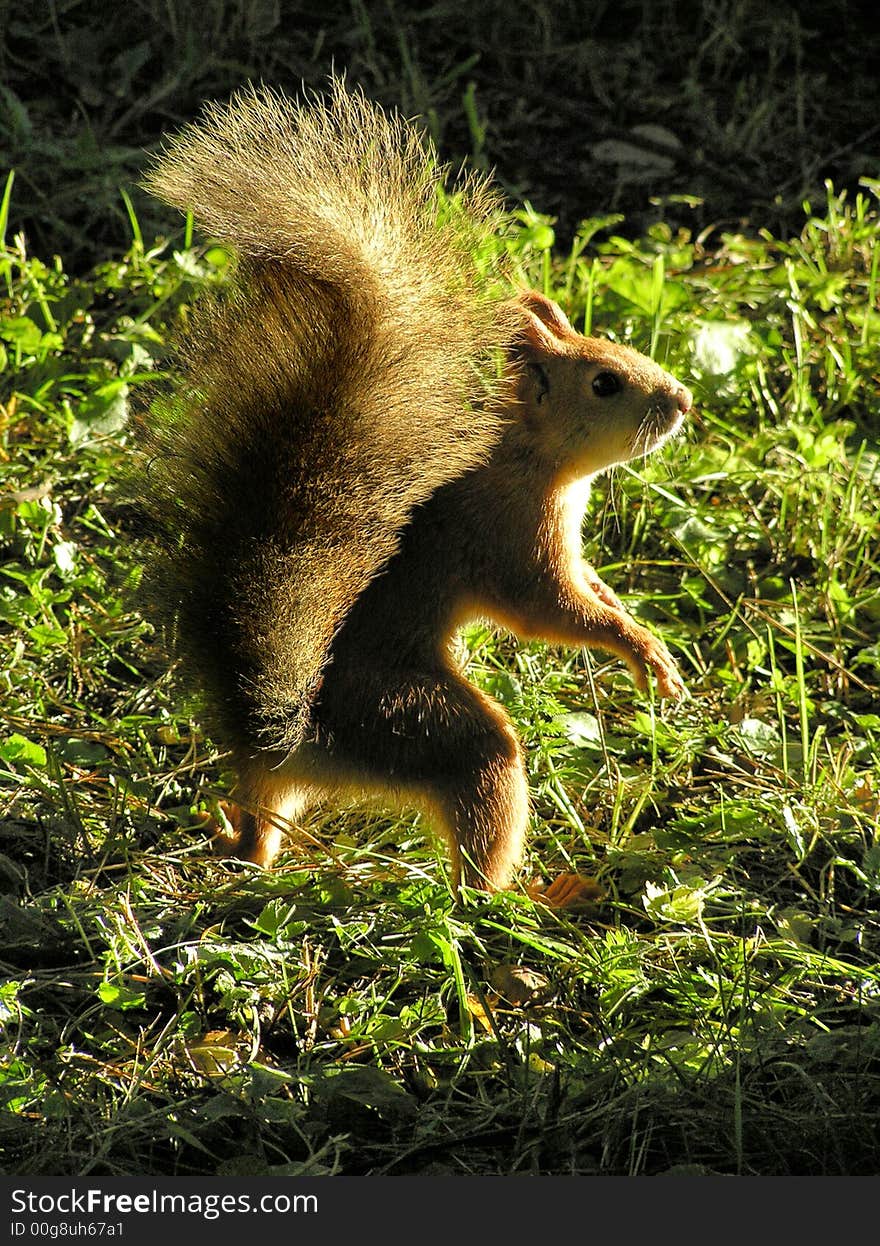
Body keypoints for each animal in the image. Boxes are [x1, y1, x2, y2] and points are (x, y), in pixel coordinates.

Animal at [140, 77, 688, 897]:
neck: (535, 462)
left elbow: (587, 584)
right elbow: (547, 610)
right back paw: (533, 899)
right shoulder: (510, 537)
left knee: (264, 822)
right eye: (605, 382)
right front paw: (642, 650)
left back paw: (241, 840)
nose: (681, 402)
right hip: (417, 725)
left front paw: (626, 611)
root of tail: (292, 735)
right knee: (478, 812)